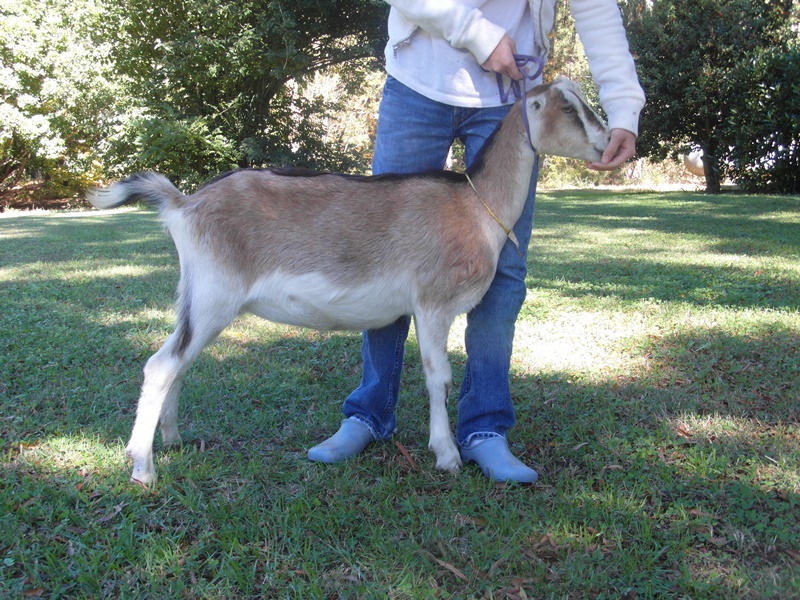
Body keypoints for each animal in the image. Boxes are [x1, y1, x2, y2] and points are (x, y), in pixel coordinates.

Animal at [87, 77, 608, 486]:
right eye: (567, 108)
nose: (608, 143)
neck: (475, 208)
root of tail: (183, 204)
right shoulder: (432, 302)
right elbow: (438, 376)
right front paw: (446, 455)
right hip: (216, 296)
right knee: (162, 365)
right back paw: (143, 468)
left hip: (196, 296)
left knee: (177, 361)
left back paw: (172, 439)